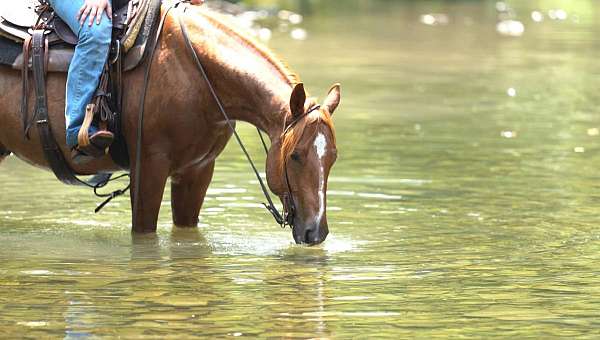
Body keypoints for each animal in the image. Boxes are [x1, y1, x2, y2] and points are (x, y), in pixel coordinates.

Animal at [0, 5, 340, 244]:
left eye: (332, 158)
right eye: (295, 156)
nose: (316, 232)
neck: (196, 72)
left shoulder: (197, 170)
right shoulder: (149, 167)